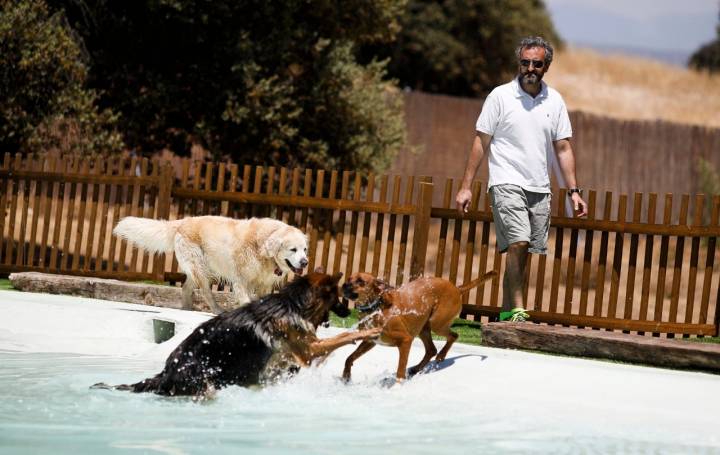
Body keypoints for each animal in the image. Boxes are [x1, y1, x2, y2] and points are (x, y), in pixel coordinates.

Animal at [93, 272, 380, 398]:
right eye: (339, 297)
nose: (347, 310)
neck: (293, 303)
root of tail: (165, 372)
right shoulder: (309, 349)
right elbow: (340, 339)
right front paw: (370, 328)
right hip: (203, 382)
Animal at [342, 272, 498, 382]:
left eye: (360, 281)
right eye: (349, 279)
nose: (344, 285)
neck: (376, 308)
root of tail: (456, 288)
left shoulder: (405, 340)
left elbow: (400, 368)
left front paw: (397, 387)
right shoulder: (369, 341)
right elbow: (349, 358)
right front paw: (346, 376)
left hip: (436, 324)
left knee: (453, 336)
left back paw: (442, 355)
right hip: (423, 327)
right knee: (431, 349)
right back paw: (416, 368)